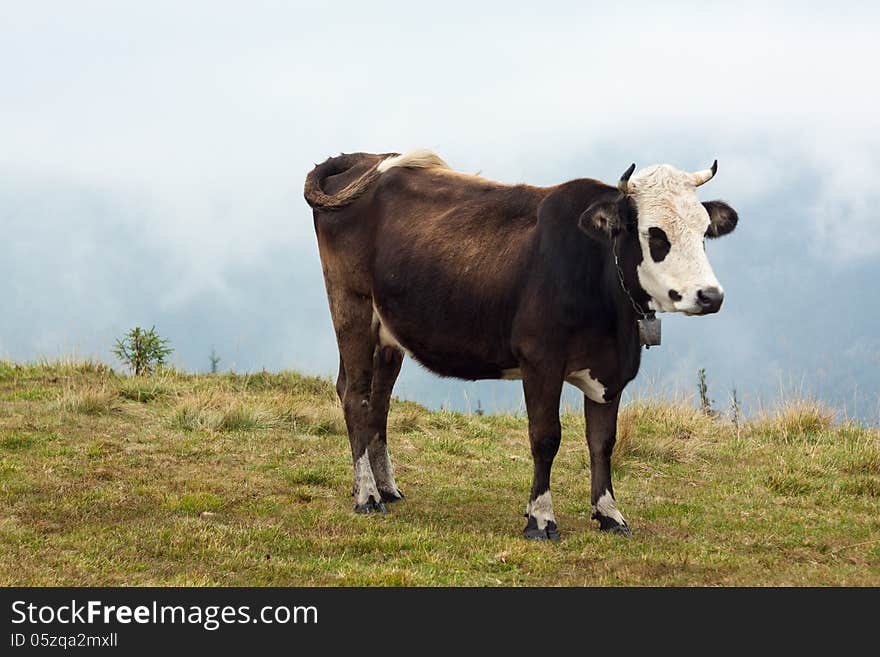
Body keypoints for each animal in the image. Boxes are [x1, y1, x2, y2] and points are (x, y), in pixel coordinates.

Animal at [302, 150, 736, 540]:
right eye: (655, 234)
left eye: (703, 233)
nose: (711, 296)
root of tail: (363, 158)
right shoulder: (540, 361)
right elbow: (546, 437)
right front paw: (541, 519)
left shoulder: (610, 372)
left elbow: (603, 442)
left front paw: (609, 514)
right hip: (351, 307)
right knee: (355, 396)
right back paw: (367, 496)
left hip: (387, 334)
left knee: (376, 401)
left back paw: (386, 488)